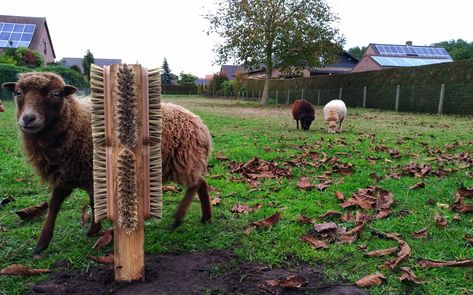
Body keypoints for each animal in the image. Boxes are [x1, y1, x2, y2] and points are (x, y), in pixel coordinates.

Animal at [1, 71, 212, 254]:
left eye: (55, 94)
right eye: (18, 93)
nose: (28, 119)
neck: (75, 122)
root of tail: (200, 124)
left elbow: (75, 202)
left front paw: (94, 229)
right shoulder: (70, 172)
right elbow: (59, 204)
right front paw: (44, 242)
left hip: (184, 159)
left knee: (195, 184)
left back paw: (178, 217)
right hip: (185, 160)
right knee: (202, 183)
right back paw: (206, 217)